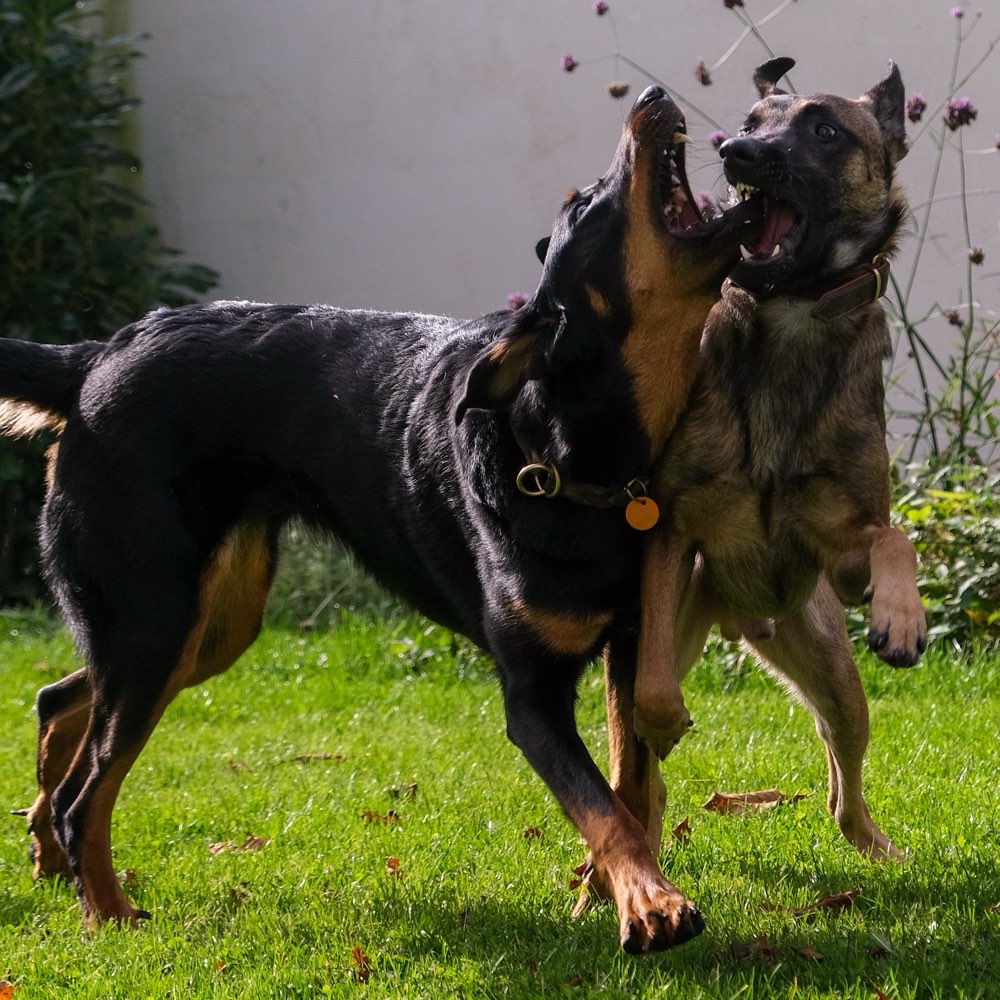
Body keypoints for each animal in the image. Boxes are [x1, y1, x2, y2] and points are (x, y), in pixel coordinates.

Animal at [0, 88, 756, 952]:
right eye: (588, 203)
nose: (652, 98)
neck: (574, 449)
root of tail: (97, 358)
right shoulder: (530, 700)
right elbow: (604, 807)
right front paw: (650, 904)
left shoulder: (627, 646)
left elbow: (630, 785)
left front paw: (613, 892)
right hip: (157, 619)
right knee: (85, 792)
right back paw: (109, 914)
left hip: (204, 626)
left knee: (60, 700)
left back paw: (51, 857)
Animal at [584, 58, 924, 940]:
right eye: (750, 121)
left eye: (824, 130)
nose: (734, 152)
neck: (788, 321)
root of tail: (744, 620)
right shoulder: (670, 527)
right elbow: (654, 698)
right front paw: (666, 722)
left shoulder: (845, 551)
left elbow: (893, 536)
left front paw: (903, 617)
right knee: (632, 775)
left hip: (835, 672)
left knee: (842, 783)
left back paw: (881, 848)